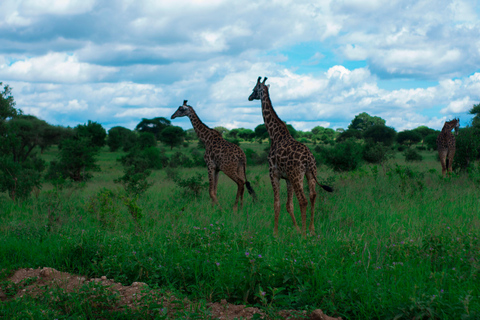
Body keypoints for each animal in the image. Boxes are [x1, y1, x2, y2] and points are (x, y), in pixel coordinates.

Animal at [248, 76, 334, 234]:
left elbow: (277, 204)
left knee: (303, 200)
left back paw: (305, 234)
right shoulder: (287, 178)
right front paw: (297, 229)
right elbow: (289, 205)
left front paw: (275, 233)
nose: (249, 97)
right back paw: (311, 229)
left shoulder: (273, 173)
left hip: (297, 175)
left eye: (254, 89)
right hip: (309, 173)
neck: (274, 135)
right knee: (313, 196)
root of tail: (308, 157)